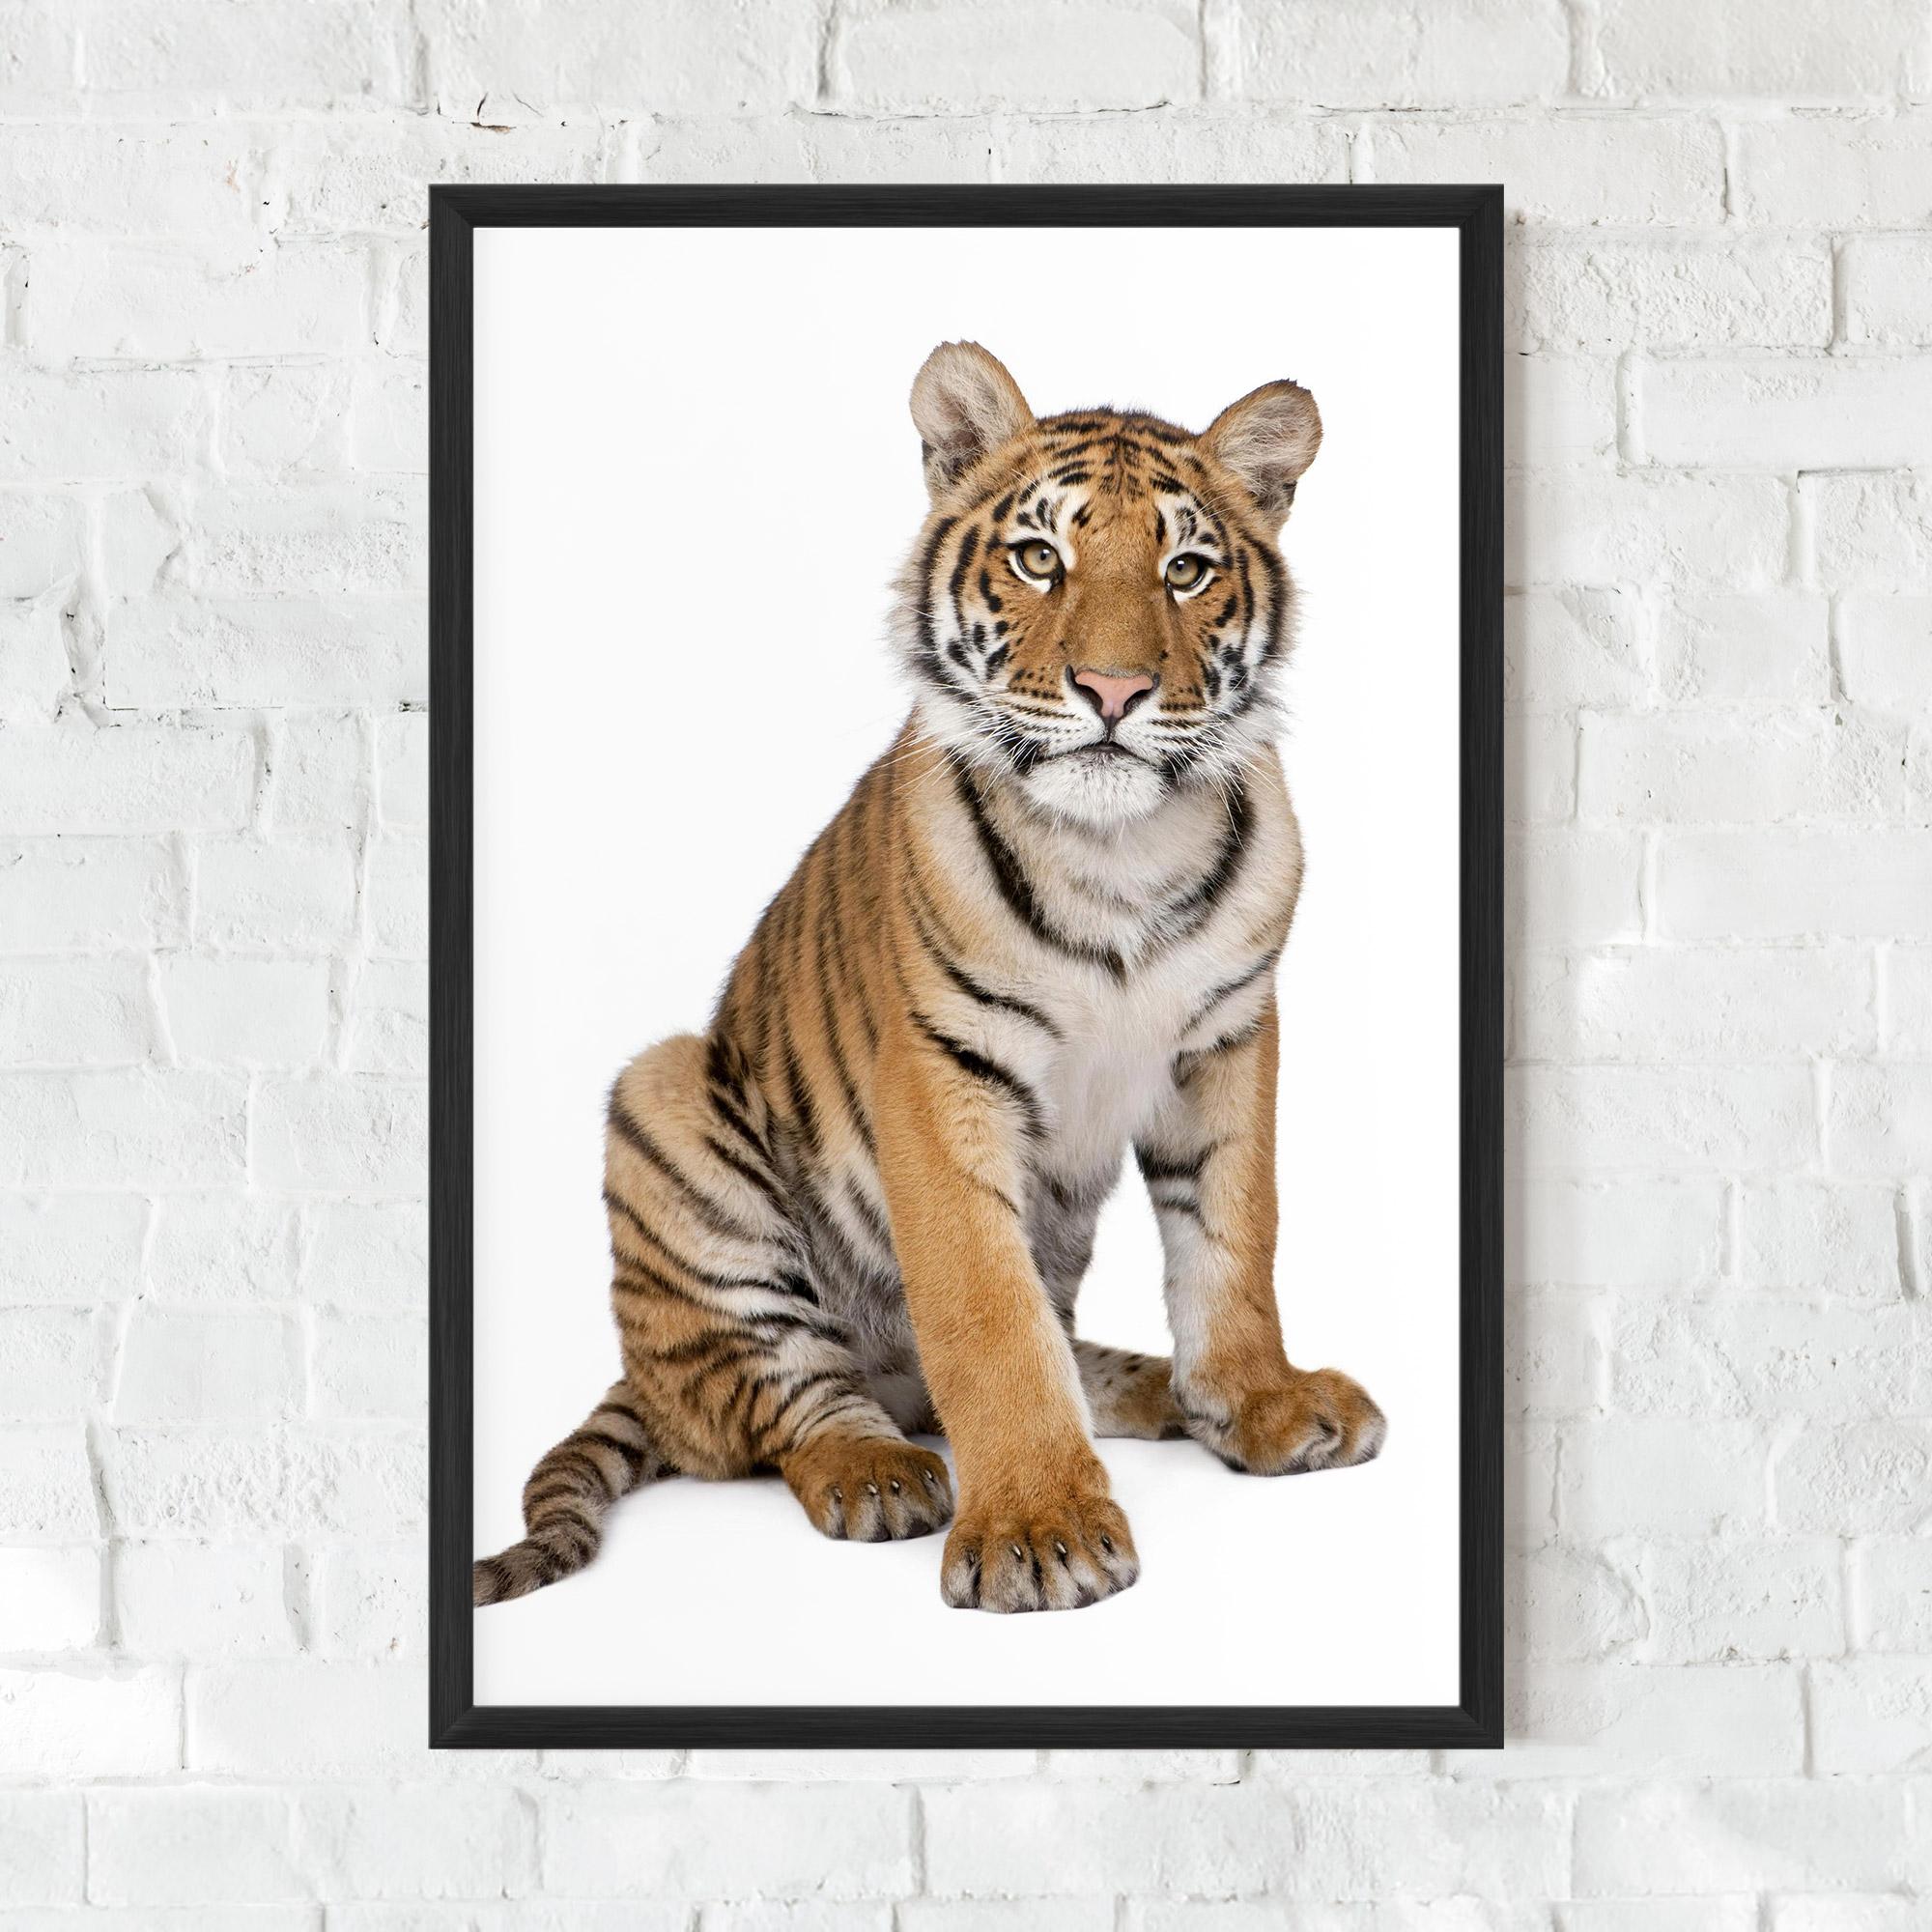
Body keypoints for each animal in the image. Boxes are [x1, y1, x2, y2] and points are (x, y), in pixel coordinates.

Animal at [474, 341, 1385, 1616]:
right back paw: (879, 1470)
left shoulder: (1226, 1038)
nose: (1113, 690)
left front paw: (1257, 1402)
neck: (1118, 850)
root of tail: (640, 1381)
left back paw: (1147, 1389)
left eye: (1187, 569)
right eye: (1040, 556)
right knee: (781, 1401)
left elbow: (1231, 1239)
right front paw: (1040, 1529)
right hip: (665, 1103)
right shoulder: (939, 1067)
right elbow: (986, 1315)